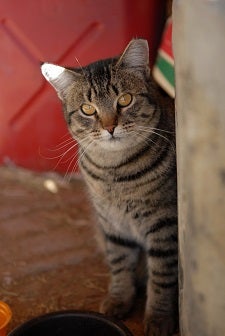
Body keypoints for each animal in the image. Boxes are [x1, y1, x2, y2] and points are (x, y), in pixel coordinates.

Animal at [40, 40, 178, 336]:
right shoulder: (112, 224)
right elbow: (119, 263)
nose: (110, 127)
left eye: (124, 100)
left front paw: (159, 318)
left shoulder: (164, 225)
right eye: (88, 109)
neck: (115, 172)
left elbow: (162, 275)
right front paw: (118, 299)